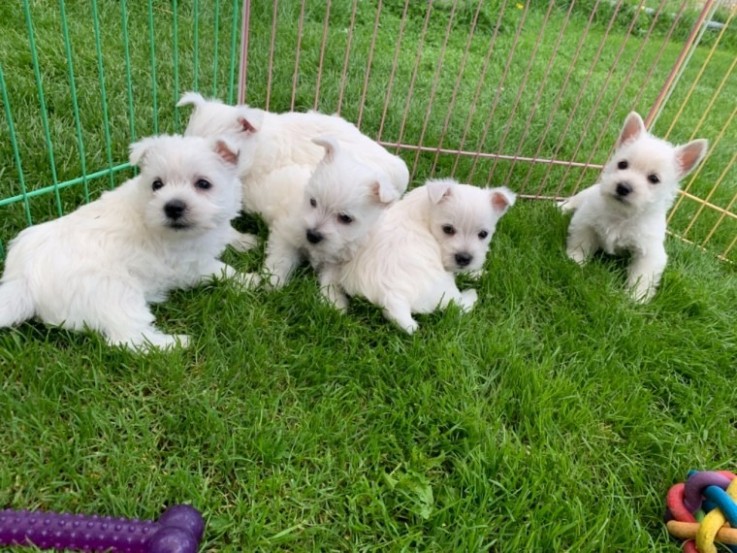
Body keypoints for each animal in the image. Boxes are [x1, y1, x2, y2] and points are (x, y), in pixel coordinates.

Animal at [0, 134, 244, 350]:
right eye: (157, 184)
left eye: (203, 183)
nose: (173, 207)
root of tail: (22, 280)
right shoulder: (190, 265)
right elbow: (221, 270)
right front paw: (248, 280)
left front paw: (244, 241)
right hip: (114, 293)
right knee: (129, 339)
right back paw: (178, 343)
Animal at [334, 179, 516, 332]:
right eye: (448, 229)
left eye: (483, 234)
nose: (464, 258)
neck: (426, 209)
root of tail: (391, 297)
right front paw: (478, 274)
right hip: (444, 287)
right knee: (456, 305)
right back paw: (471, 294)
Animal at [564, 111, 708, 302]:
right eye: (622, 164)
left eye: (654, 179)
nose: (623, 187)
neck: (623, 214)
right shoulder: (585, 222)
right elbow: (581, 242)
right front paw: (575, 260)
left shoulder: (650, 253)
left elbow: (643, 276)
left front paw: (636, 297)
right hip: (585, 196)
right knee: (573, 200)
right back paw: (560, 206)